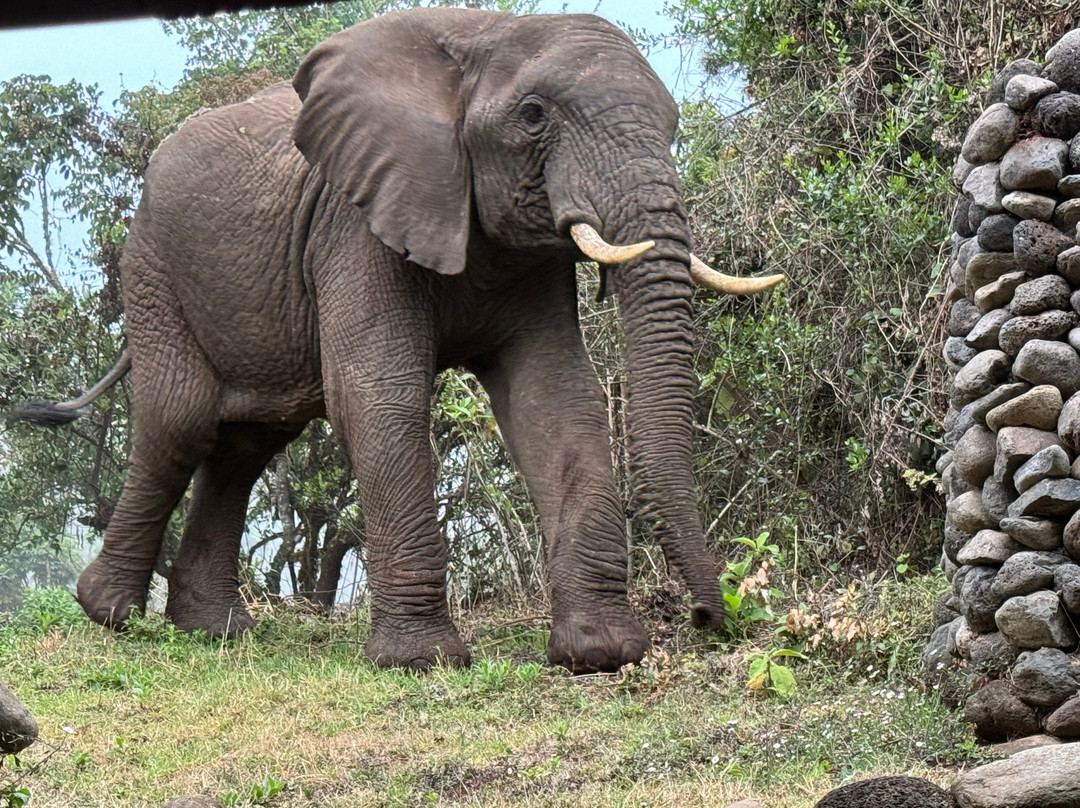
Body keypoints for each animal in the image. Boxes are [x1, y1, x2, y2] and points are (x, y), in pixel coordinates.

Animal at [14, 7, 786, 674]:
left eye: (673, 124)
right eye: (534, 117)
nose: (707, 618)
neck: (485, 39)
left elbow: (555, 400)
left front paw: (599, 653)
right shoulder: (354, 223)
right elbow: (379, 396)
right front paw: (421, 662)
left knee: (247, 442)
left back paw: (215, 632)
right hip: (153, 267)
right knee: (182, 422)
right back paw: (110, 613)